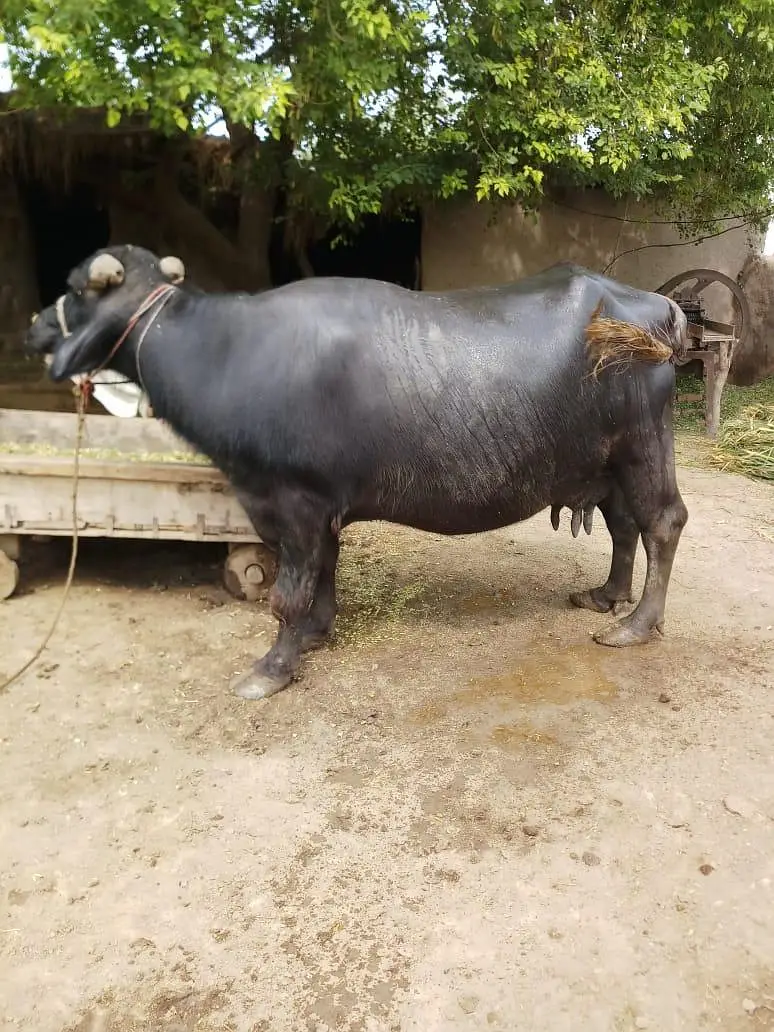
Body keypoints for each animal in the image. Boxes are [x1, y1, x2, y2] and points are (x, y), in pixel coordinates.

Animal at [27, 245, 688, 701]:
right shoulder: (318, 507)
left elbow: (287, 594)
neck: (225, 353)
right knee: (624, 525)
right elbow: (324, 571)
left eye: (75, 289)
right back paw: (606, 596)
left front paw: (271, 668)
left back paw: (636, 624)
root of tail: (655, 306)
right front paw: (317, 632)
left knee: (663, 522)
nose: (34, 325)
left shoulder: (291, 502)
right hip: (607, 460)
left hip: (644, 444)